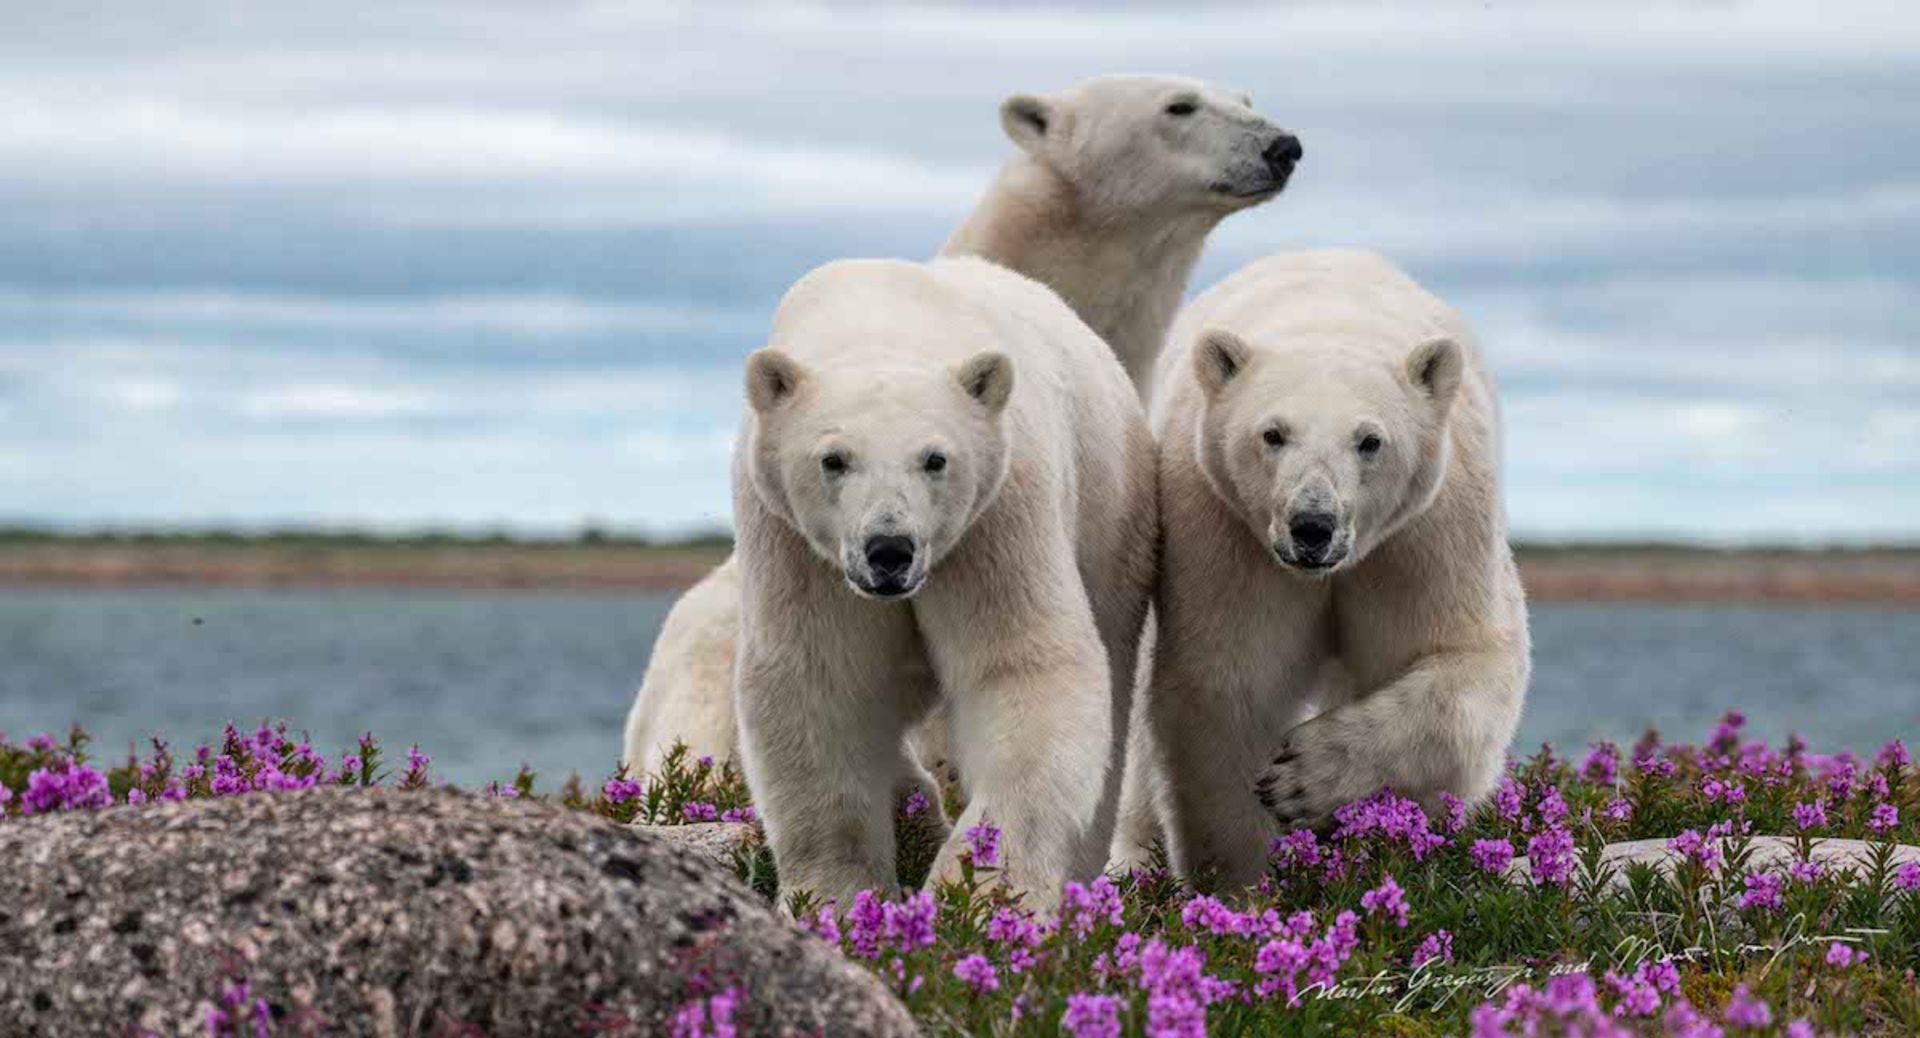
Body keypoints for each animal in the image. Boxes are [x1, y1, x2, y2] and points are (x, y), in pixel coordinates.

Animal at [729, 257, 1152, 905]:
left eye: (935, 458)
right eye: (834, 459)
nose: (889, 549)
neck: (881, 323)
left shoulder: (996, 516)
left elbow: (1021, 666)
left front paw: (980, 889)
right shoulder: (794, 542)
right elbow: (819, 681)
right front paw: (834, 896)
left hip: (1111, 515)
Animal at [1136, 247, 1528, 886]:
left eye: (1370, 440)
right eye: (1272, 434)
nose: (1312, 525)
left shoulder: (1425, 533)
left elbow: (1458, 661)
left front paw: (1308, 778)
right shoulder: (1225, 529)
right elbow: (1230, 681)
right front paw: (1244, 877)